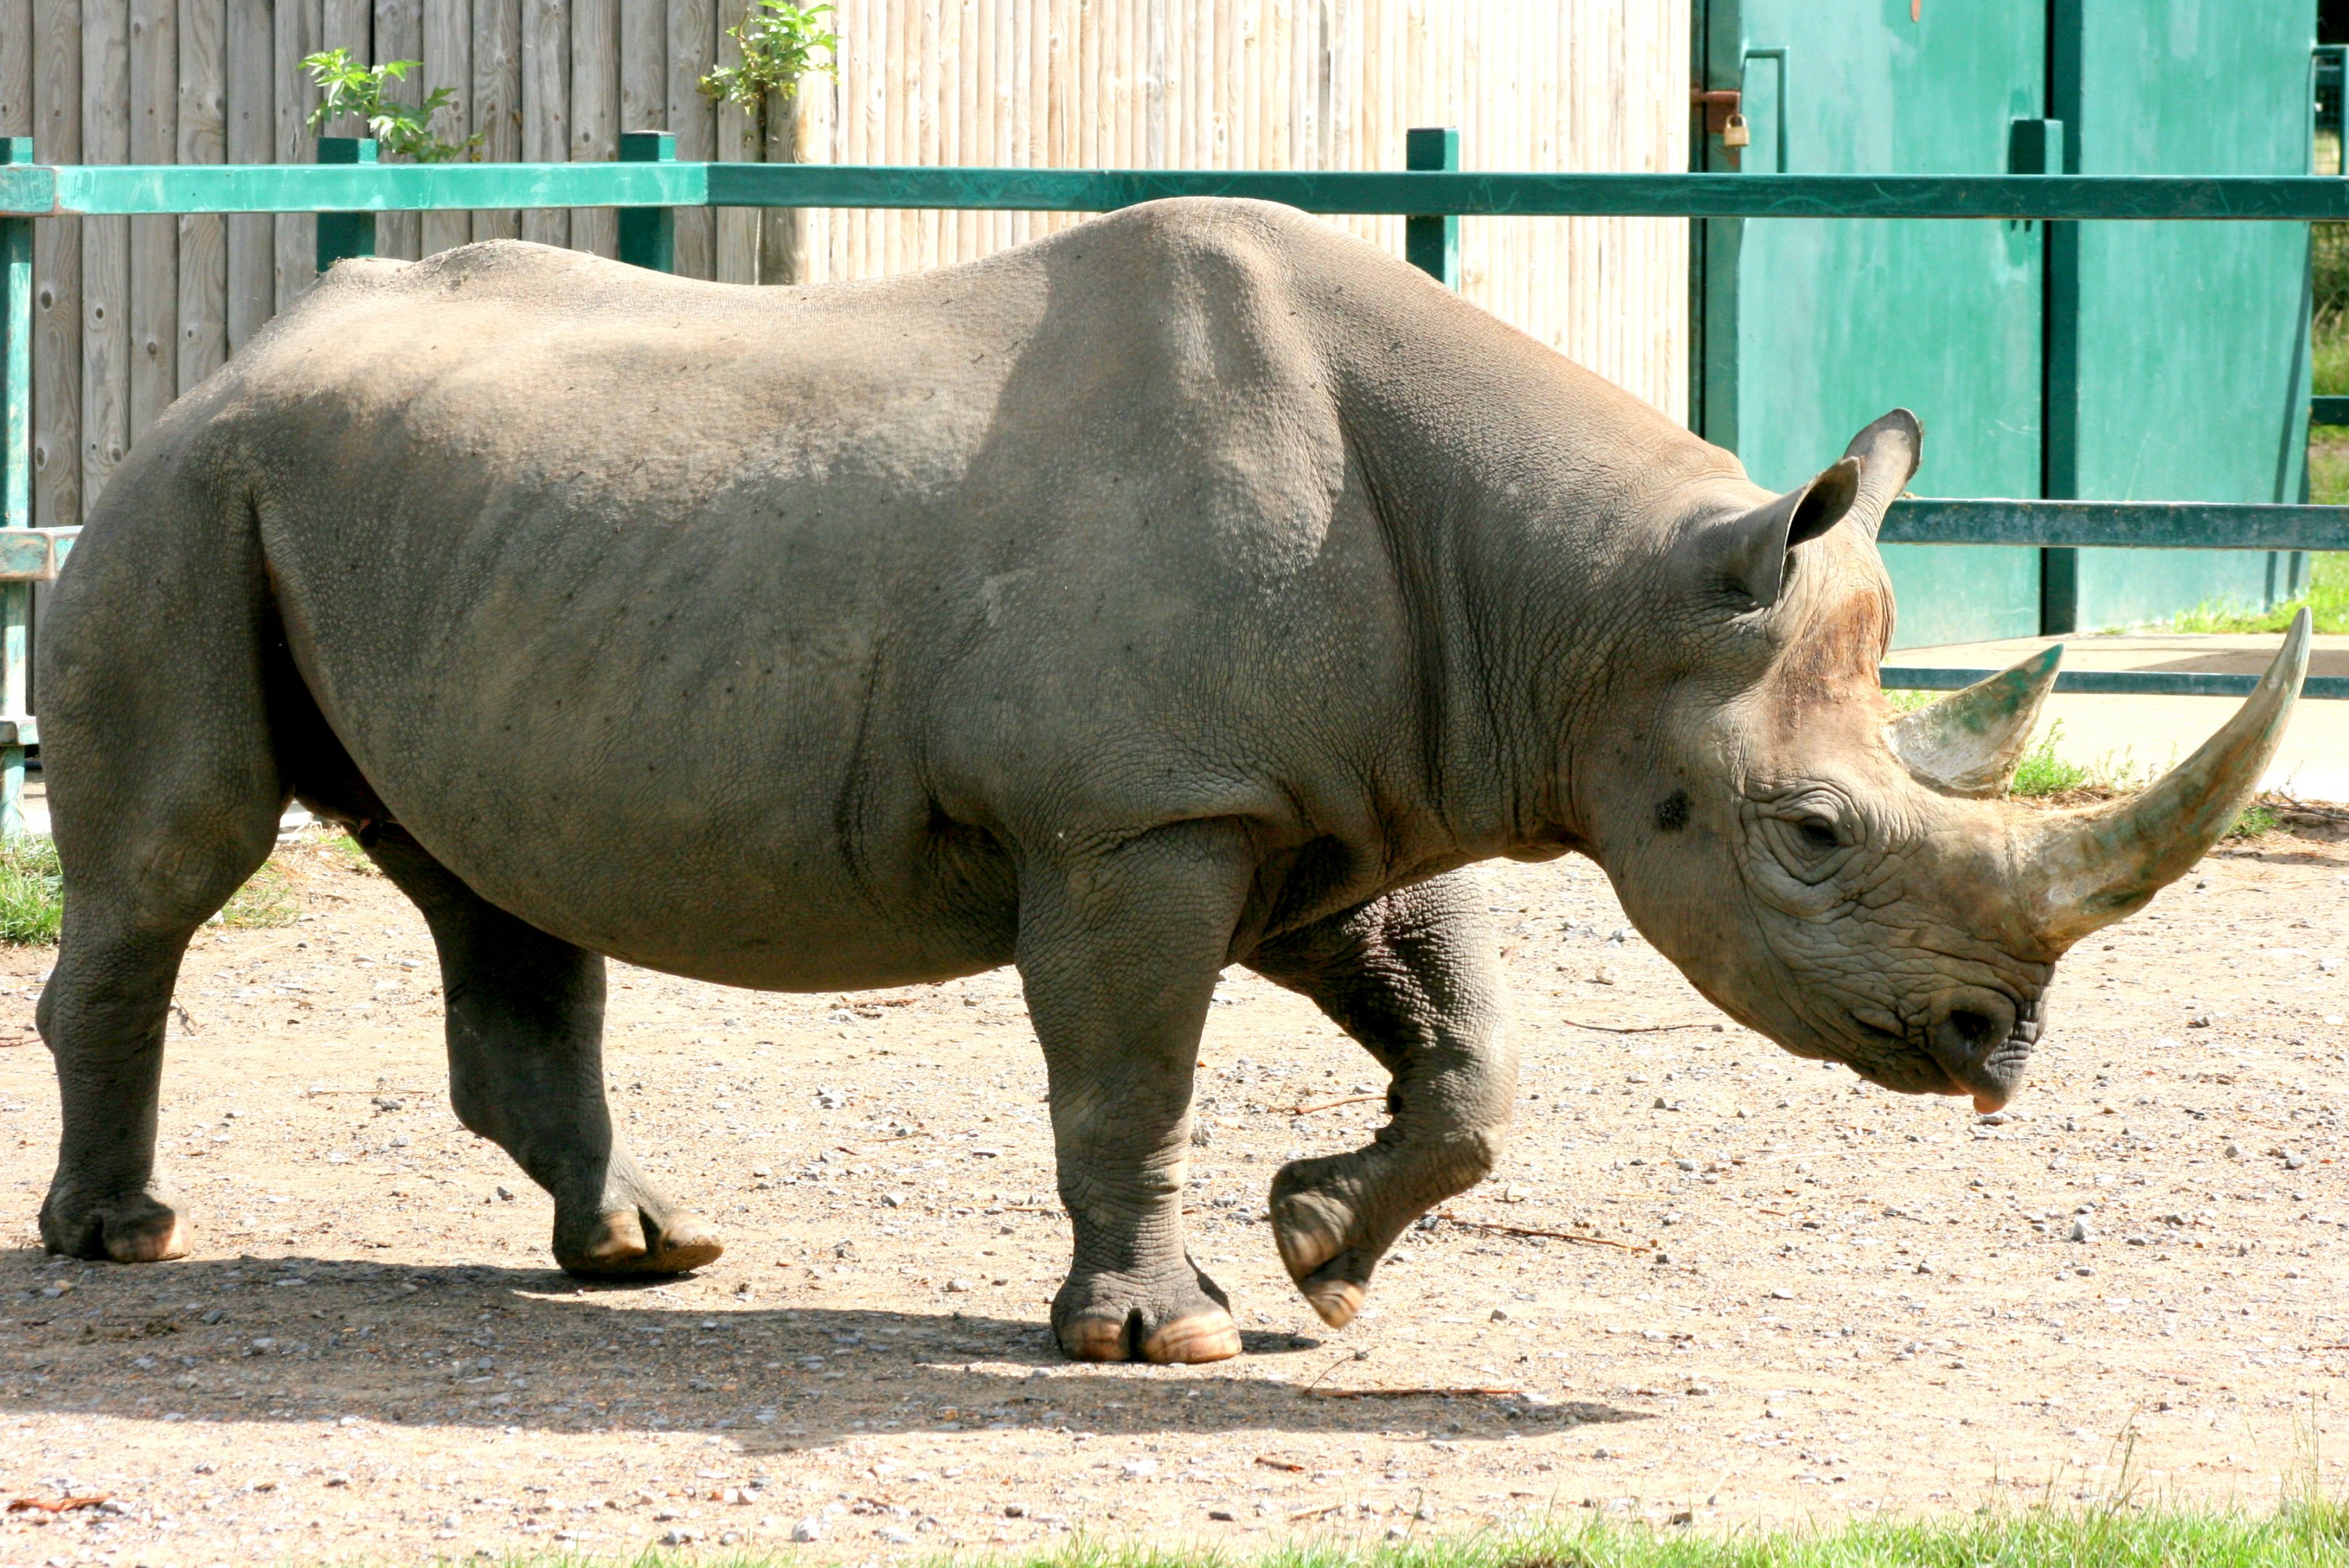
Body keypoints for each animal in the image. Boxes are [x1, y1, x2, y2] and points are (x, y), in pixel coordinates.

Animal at [35, 198, 2304, 1363]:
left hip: (393, 510)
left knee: (493, 882)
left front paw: (1323, 1255)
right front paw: (1166, 1334)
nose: (2002, 1044)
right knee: (179, 858)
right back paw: (120, 1241)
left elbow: (1472, 1052)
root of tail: (235, 349)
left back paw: (644, 1252)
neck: (1576, 606)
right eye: (1814, 838)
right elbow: (1129, 1063)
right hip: (185, 494)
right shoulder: (1140, 812)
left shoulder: (1348, 788)